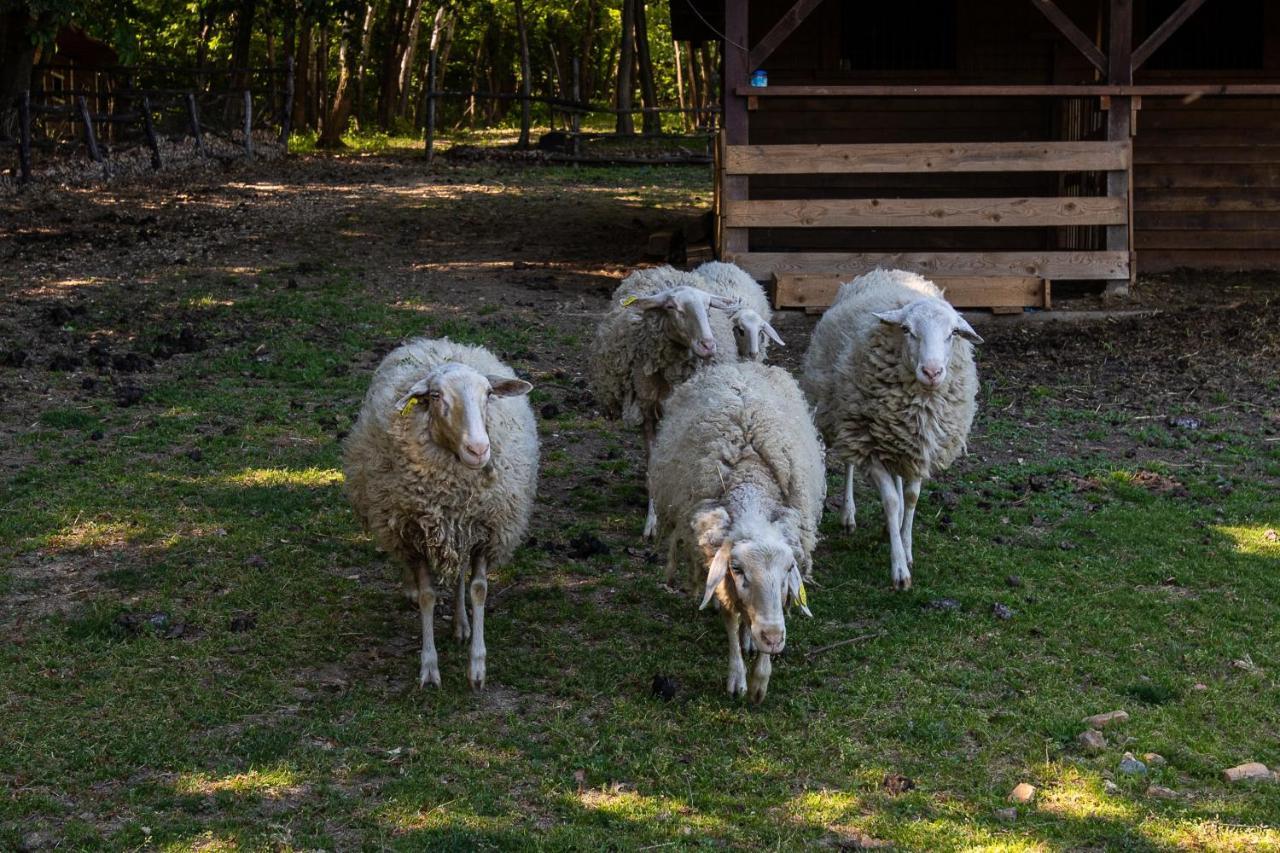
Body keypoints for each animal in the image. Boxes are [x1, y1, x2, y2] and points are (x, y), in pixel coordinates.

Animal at [340, 335, 535, 686]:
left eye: (489, 394)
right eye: (435, 395)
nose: (478, 449)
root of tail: (438, 342)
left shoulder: (485, 530)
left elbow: (478, 589)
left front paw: (477, 666)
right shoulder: (411, 533)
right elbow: (428, 596)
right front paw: (429, 668)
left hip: (461, 533)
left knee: (459, 575)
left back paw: (461, 624)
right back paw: (412, 591)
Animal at [593, 262, 747, 535]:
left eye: (708, 306)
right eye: (671, 307)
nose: (708, 345)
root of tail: (663, 270)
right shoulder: (647, 408)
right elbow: (654, 461)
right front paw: (652, 521)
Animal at [655, 361, 824, 701]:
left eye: (789, 569)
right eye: (737, 569)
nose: (773, 637)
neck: (751, 481)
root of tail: (739, 365)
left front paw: (760, 679)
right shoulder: (719, 570)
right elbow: (731, 620)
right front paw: (738, 678)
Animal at [803, 268, 983, 589]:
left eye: (952, 333)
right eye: (908, 330)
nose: (932, 372)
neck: (919, 408)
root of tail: (892, 271)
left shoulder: (920, 449)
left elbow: (910, 499)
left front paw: (906, 547)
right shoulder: (869, 444)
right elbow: (891, 501)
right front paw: (899, 570)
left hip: (894, 441)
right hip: (842, 414)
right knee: (849, 463)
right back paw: (848, 514)